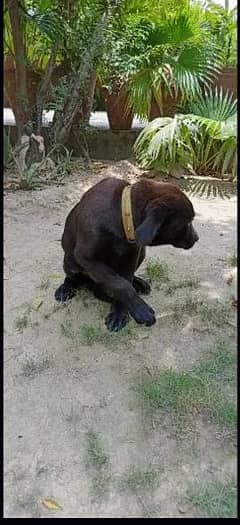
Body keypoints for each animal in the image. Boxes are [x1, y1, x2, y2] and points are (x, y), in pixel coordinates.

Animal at [54, 178, 199, 330]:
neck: (120, 214)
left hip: (142, 253)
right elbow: (120, 284)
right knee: (72, 278)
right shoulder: (87, 258)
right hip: (70, 262)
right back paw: (65, 288)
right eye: (188, 222)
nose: (197, 238)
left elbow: (126, 280)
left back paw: (139, 283)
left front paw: (119, 312)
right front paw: (141, 310)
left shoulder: (131, 254)